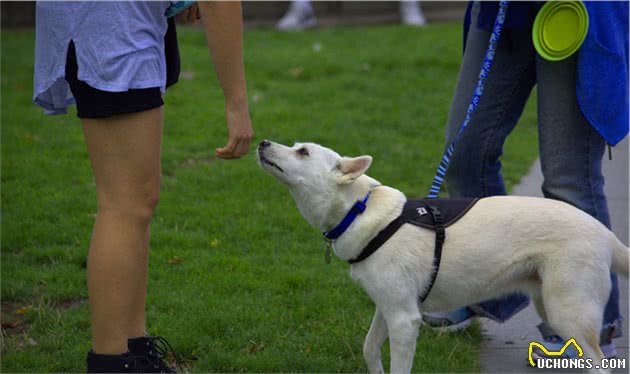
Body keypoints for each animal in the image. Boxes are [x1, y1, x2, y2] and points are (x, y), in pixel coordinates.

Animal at [258, 141, 630, 374]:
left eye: (302, 151)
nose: (261, 142)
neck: (359, 209)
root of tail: (605, 233)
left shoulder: (404, 320)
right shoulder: (388, 307)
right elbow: (368, 348)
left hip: (568, 311)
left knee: (599, 363)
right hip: (550, 304)